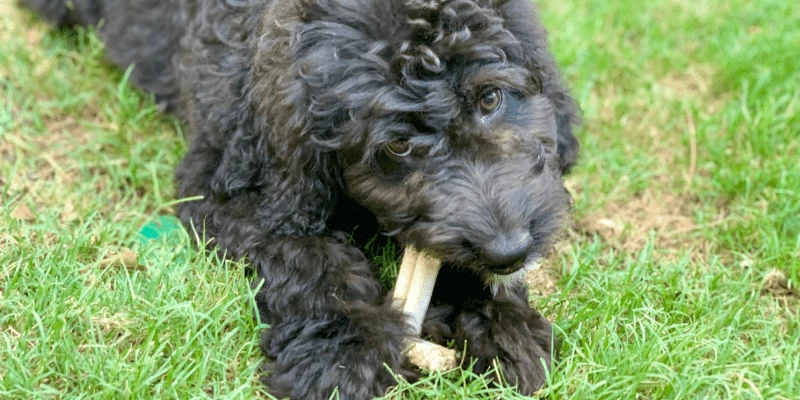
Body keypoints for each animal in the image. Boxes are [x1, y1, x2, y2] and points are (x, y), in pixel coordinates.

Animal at [21, 0, 580, 396]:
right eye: (396, 146)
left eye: (490, 98)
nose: (509, 251)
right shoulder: (227, 190)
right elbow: (310, 257)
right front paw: (345, 353)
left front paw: (503, 328)